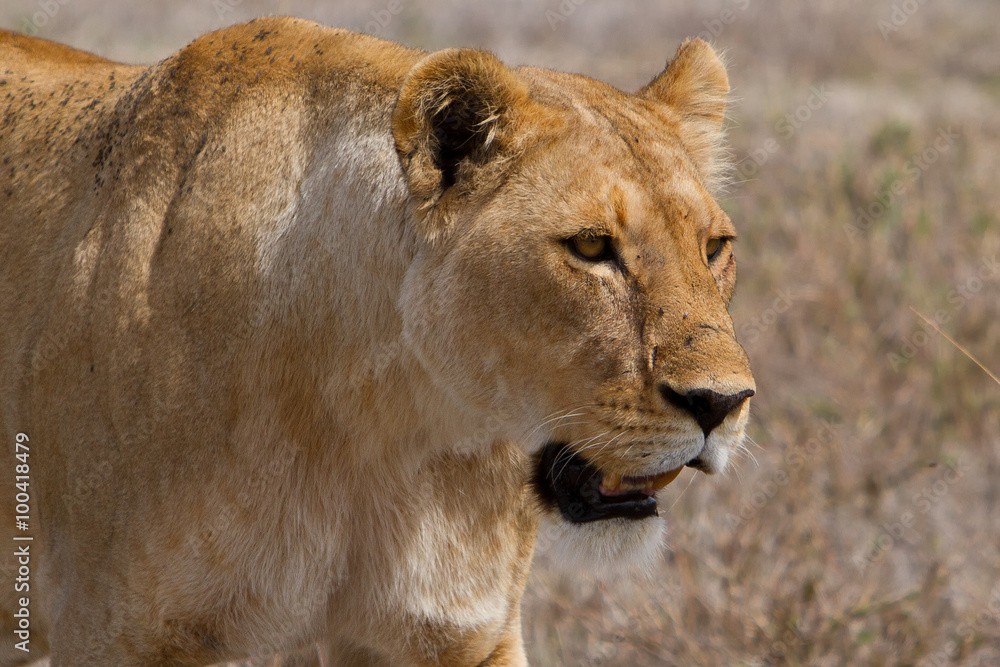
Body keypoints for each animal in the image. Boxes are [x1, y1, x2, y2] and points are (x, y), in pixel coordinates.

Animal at [0, 16, 755, 667]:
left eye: (714, 247)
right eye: (592, 247)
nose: (722, 404)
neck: (379, 429)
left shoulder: (459, 631)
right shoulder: (112, 630)